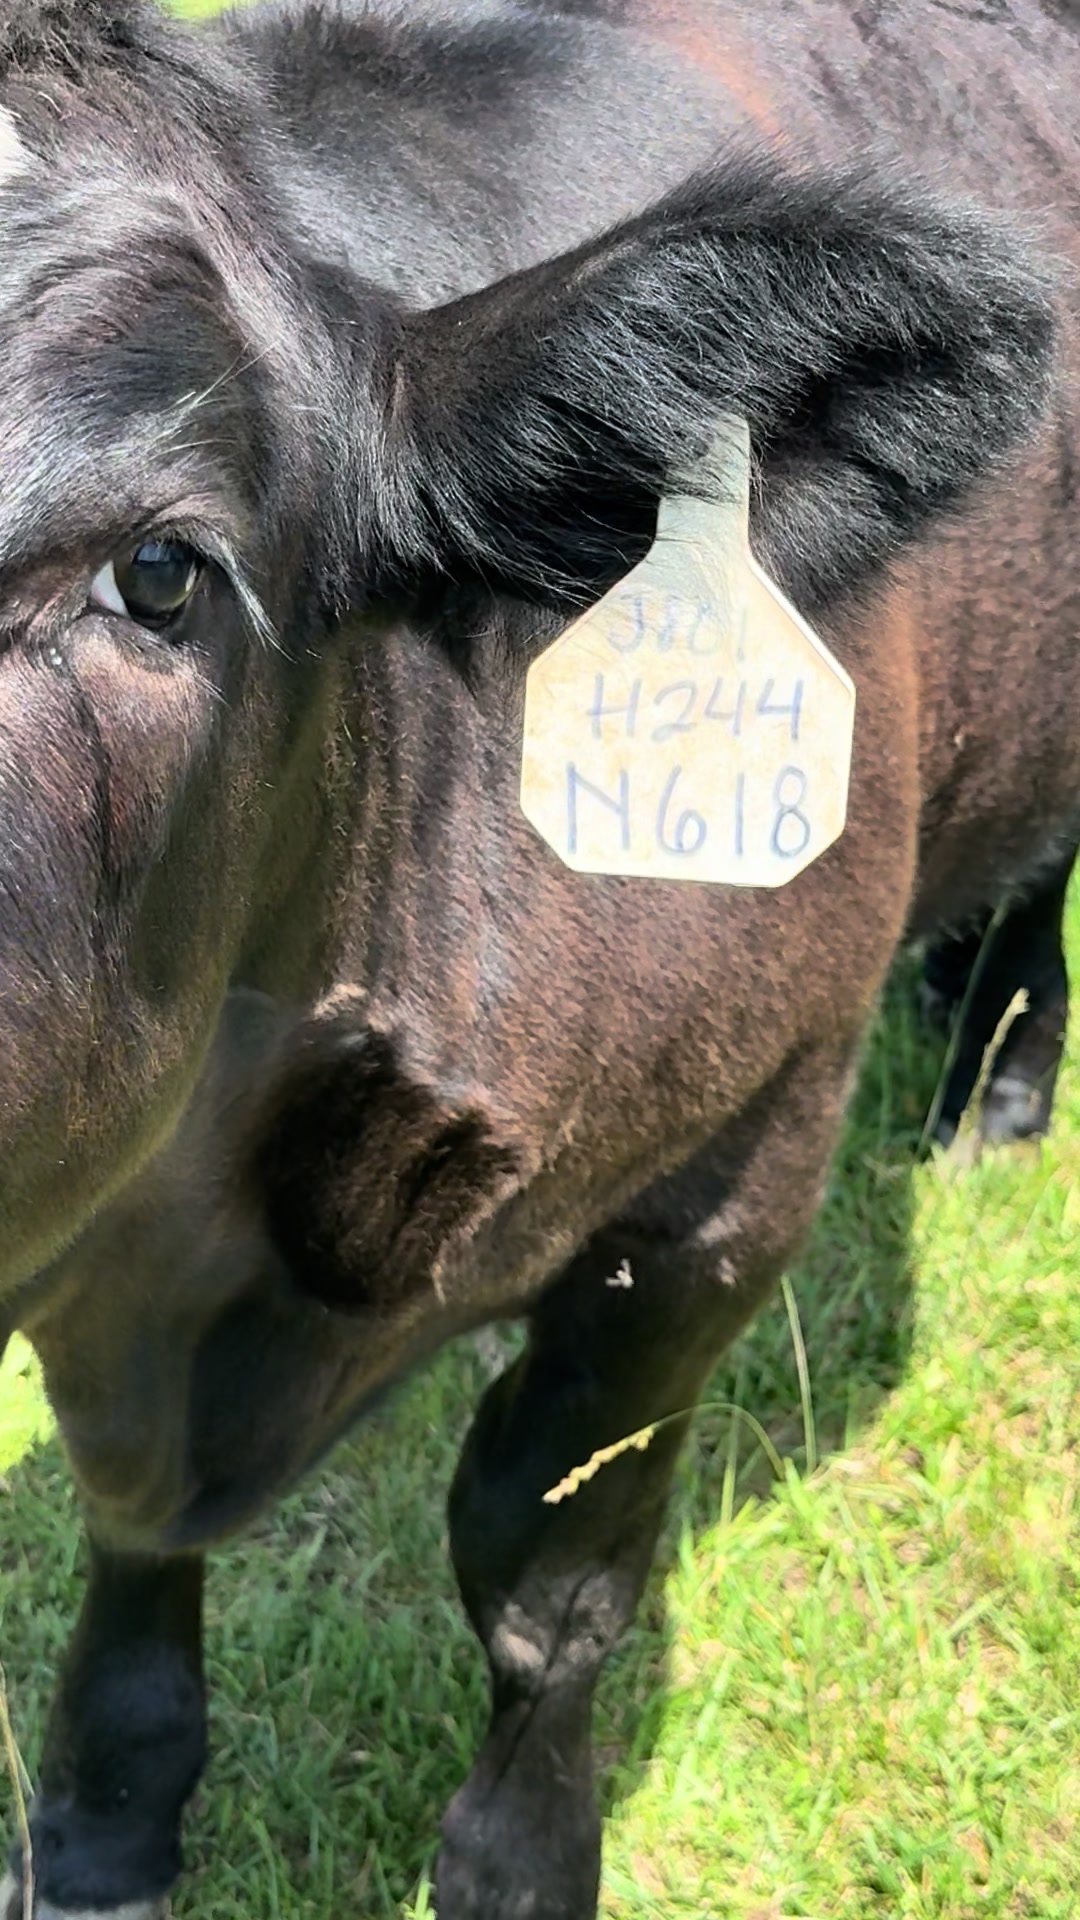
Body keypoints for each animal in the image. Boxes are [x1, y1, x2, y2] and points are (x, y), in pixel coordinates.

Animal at [0, 1, 1077, 1916]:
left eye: (160, 572)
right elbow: (128, 1537)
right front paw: (103, 1820)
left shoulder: (726, 1188)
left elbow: (549, 1580)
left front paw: (520, 1859)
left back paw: (999, 1090)